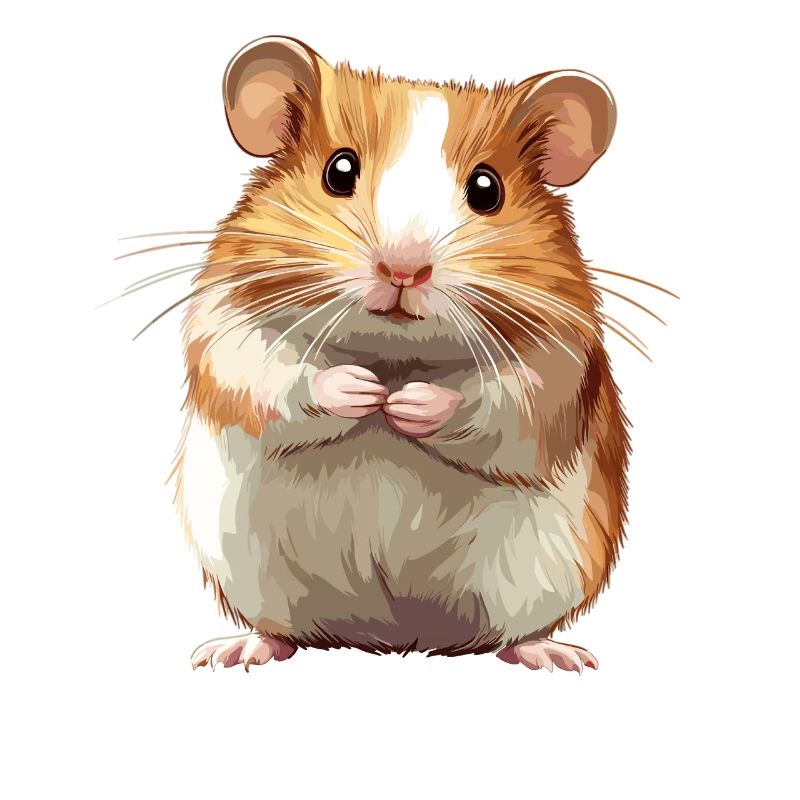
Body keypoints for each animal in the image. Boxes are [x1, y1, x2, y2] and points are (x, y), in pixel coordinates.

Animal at [176, 36, 629, 672]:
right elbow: (269, 376)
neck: (391, 353)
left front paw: (409, 404)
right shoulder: (223, 326)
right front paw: (361, 392)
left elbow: (501, 402)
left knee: (517, 634)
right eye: (339, 170)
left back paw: (558, 656)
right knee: (279, 628)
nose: (403, 269)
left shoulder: (562, 359)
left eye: (487, 188)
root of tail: (396, 639)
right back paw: (234, 651)